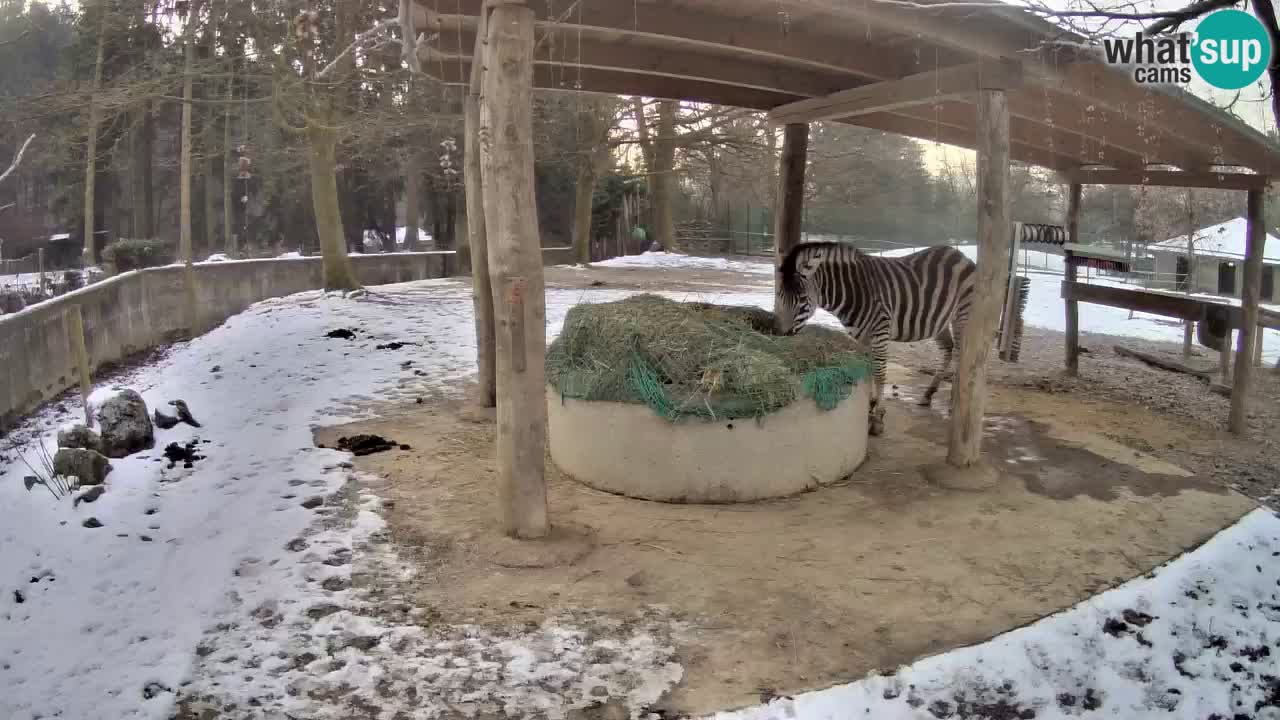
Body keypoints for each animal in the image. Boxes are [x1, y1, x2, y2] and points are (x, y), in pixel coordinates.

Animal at [768, 239, 977, 430]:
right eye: (779, 295)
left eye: (802, 298)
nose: (782, 334)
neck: (853, 291)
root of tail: (958, 254)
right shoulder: (861, 335)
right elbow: (868, 368)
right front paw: (869, 407)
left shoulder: (881, 330)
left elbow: (879, 372)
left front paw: (878, 418)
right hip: (939, 321)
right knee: (948, 349)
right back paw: (928, 394)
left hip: (962, 316)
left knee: (960, 354)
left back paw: (954, 402)